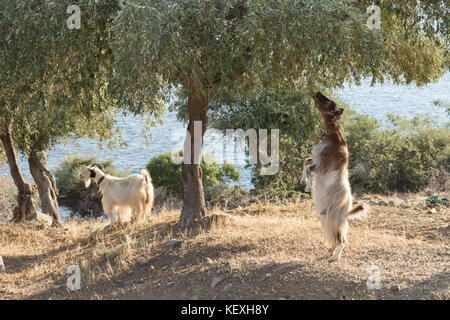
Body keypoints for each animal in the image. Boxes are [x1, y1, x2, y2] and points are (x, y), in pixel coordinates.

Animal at [302, 92, 370, 262]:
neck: (332, 136)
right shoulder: (316, 160)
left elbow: (309, 168)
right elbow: (305, 162)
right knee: (334, 239)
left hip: (335, 220)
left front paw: (308, 185)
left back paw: (335, 257)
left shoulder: (321, 166)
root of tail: (347, 211)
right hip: (326, 219)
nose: (317, 93)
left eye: (330, 102)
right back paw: (328, 253)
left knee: (342, 239)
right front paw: (303, 181)